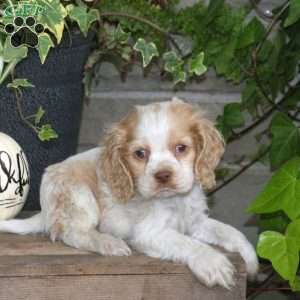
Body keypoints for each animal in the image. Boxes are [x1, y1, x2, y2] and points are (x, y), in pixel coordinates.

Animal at [0, 98, 258, 288]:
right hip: (79, 196)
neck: (174, 201)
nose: (163, 175)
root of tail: (45, 210)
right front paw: (213, 263)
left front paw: (251, 259)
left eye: (181, 148)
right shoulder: (149, 233)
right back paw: (109, 244)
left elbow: (229, 231)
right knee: (73, 233)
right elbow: (187, 243)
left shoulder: (195, 221)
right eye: (140, 154)